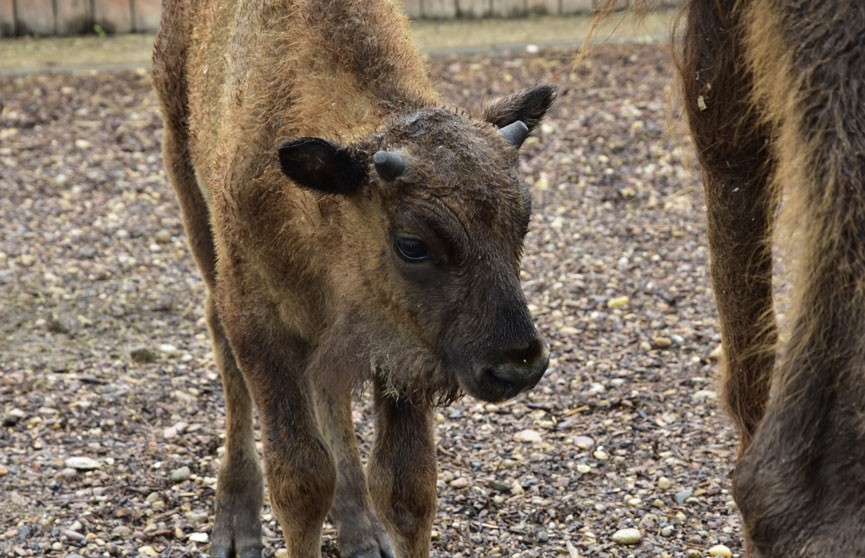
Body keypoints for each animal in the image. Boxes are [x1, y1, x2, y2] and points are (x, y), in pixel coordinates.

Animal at [149, 1, 552, 558]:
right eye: (412, 244)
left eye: (523, 222)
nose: (518, 365)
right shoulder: (258, 327)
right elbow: (300, 483)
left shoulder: (398, 350)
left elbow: (406, 487)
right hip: (189, 194)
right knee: (222, 347)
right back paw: (235, 525)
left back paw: (361, 529)